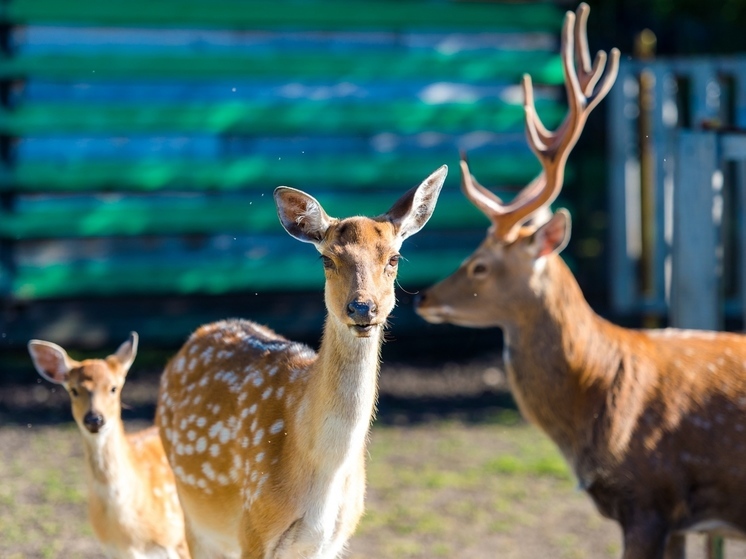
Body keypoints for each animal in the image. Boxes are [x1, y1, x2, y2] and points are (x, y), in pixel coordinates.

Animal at [155, 167, 444, 559]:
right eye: (327, 259)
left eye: (394, 258)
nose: (362, 308)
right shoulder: (254, 527)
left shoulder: (334, 538)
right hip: (196, 514)